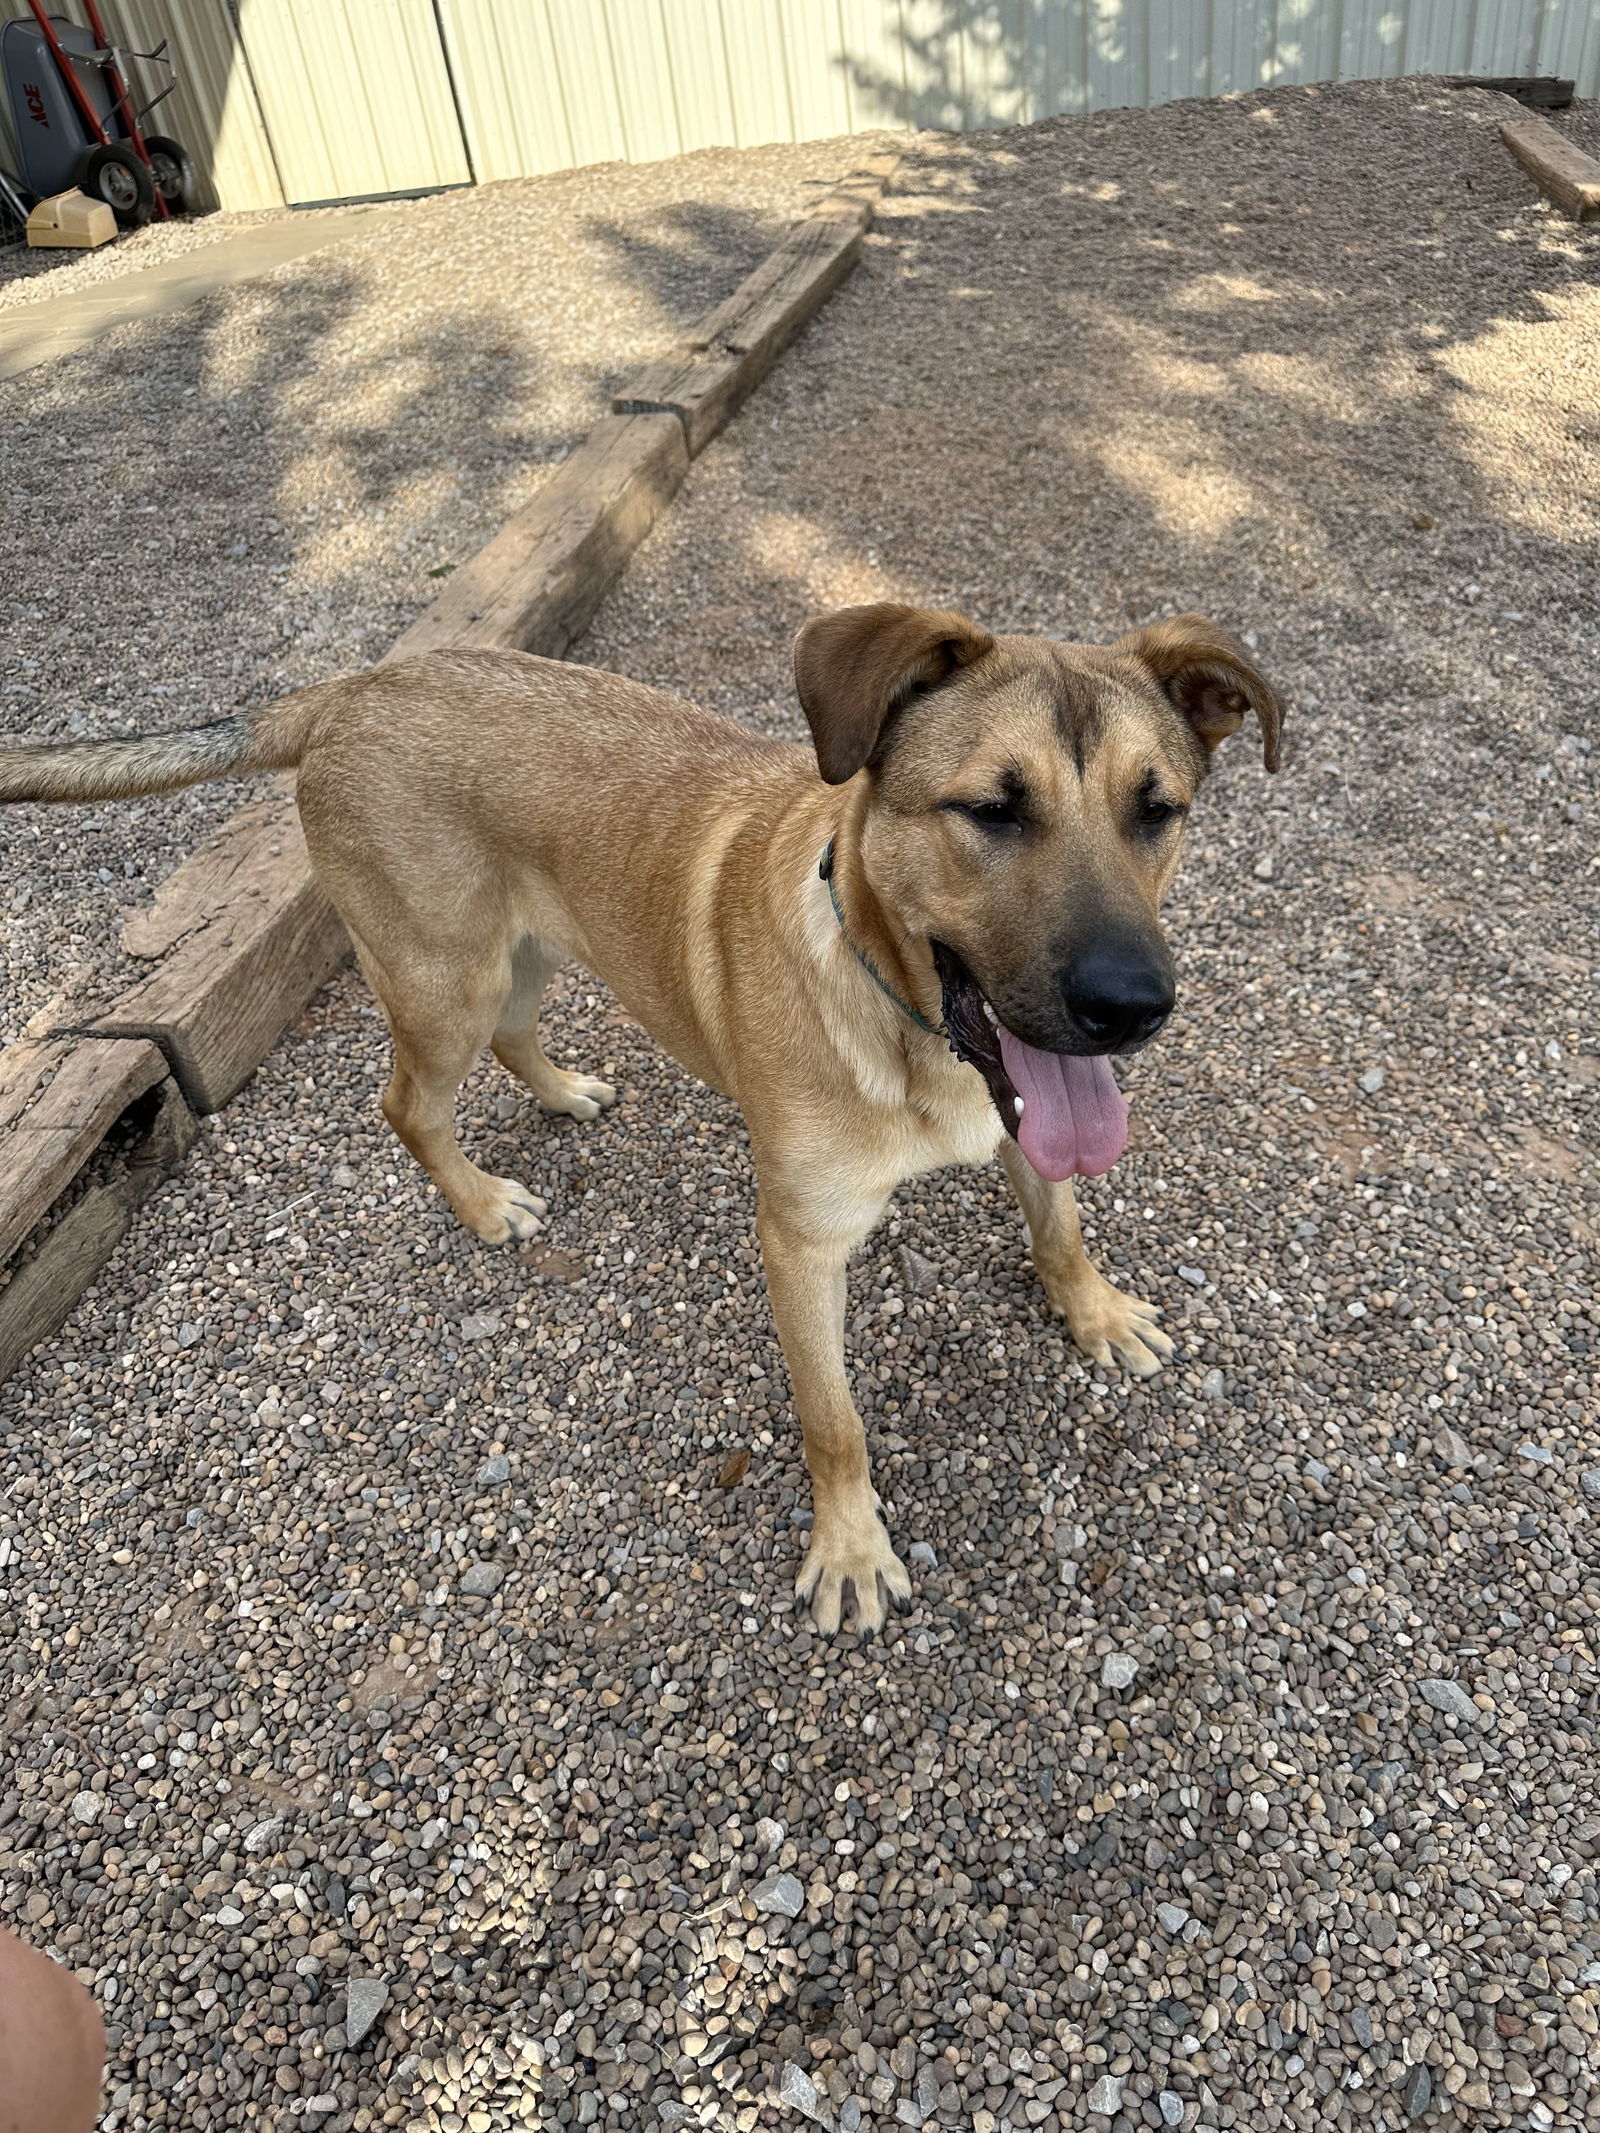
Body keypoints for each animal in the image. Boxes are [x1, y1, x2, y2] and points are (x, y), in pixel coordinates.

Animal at [0, 610, 1280, 1638]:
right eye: (989, 810)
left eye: (1158, 810)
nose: (1132, 1006)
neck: (904, 1018)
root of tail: (355, 686)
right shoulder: (800, 1244)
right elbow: (834, 1422)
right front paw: (849, 1548)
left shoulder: (1028, 1120)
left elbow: (1059, 1225)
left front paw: (1092, 1310)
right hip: (444, 979)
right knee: (408, 1104)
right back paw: (482, 1204)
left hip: (524, 957)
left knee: (514, 1041)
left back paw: (562, 1092)